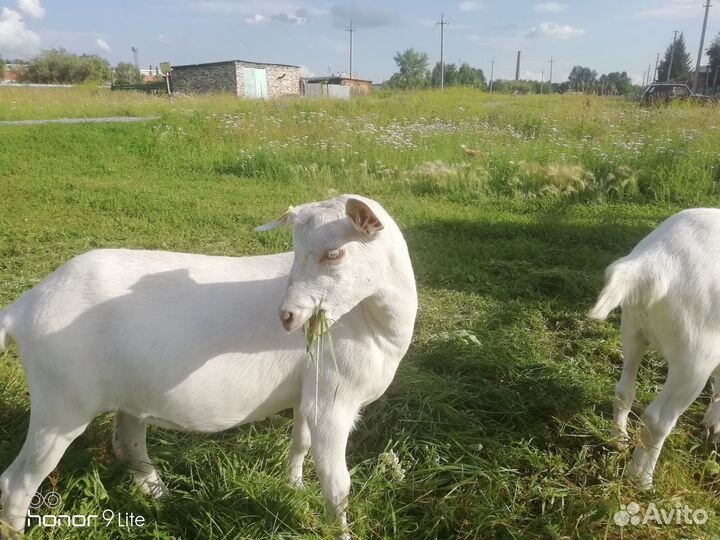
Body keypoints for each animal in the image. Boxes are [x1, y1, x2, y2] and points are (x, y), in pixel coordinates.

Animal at [0, 194, 418, 538]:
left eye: (333, 253)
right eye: (297, 250)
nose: (288, 316)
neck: (373, 321)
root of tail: (23, 308)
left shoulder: (310, 388)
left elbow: (300, 443)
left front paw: (294, 487)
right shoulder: (335, 398)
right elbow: (337, 483)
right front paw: (338, 529)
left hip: (123, 392)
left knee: (128, 440)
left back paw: (157, 491)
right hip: (62, 402)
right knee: (17, 483)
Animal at [589, 208, 720, 489]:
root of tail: (653, 261)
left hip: (632, 329)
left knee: (624, 390)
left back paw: (618, 441)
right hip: (693, 360)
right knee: (657, 419)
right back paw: (642, 479)